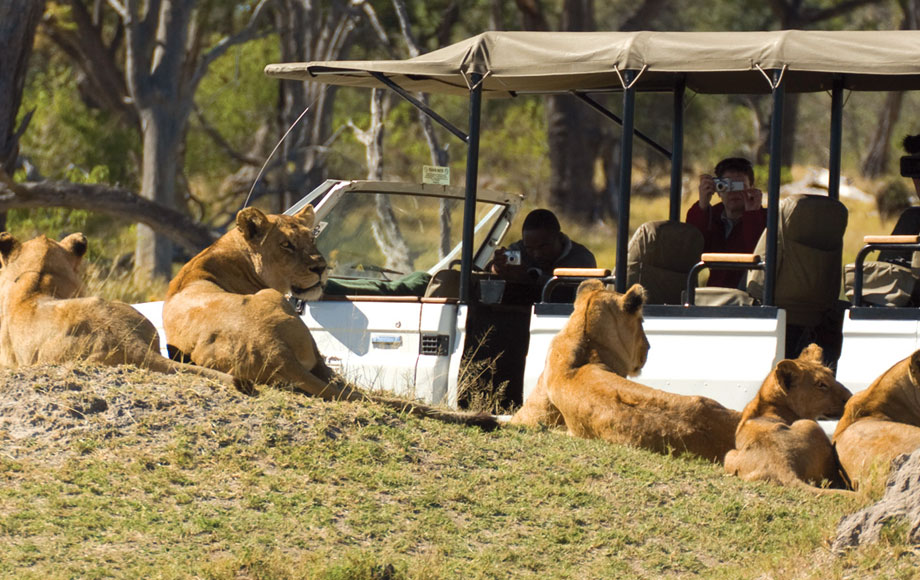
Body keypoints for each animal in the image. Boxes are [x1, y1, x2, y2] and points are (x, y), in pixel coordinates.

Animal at [724, 344, 852, 490]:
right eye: (821, 385)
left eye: (832, 375)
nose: (851, 396)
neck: (767, 402)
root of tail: (783, 464)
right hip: (809, 424)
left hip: (728, 455)